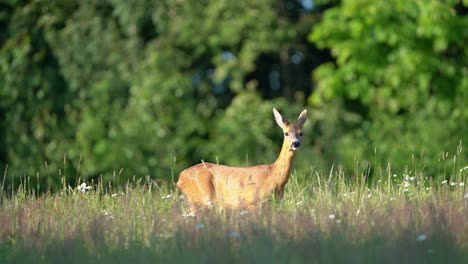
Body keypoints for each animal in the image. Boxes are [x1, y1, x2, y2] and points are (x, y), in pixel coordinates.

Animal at [176, 108, 308, 212]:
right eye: (286, 133)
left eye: (301, 133)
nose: (296, 143)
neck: (273, 177)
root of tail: (180, 177)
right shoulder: (252, 202)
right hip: (201, 198)